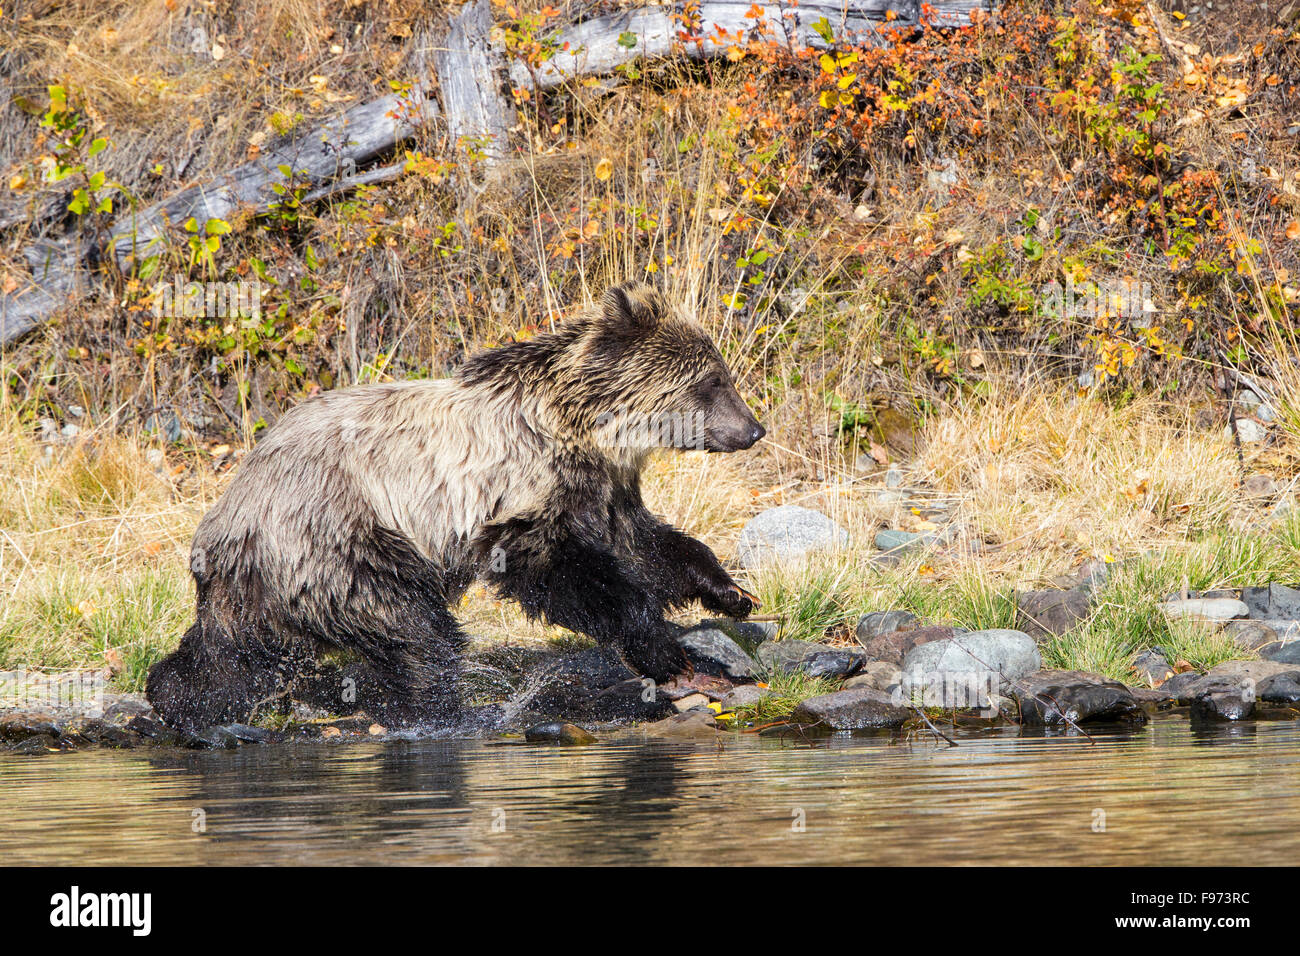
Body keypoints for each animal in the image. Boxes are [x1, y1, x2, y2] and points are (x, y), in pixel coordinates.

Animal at [147, 280, 764, 728]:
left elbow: (646, 544)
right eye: (713, 380)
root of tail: (225, 523)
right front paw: (661, 648)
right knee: (412, 626)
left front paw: (732, 593)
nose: (753, 429)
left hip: (262, 583)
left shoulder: (600, 490)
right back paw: (442, 706)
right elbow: (564, 573)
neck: (583, 430)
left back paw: (183, 697)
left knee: (227, 656)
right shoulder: (517, 497)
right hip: (338, 539)